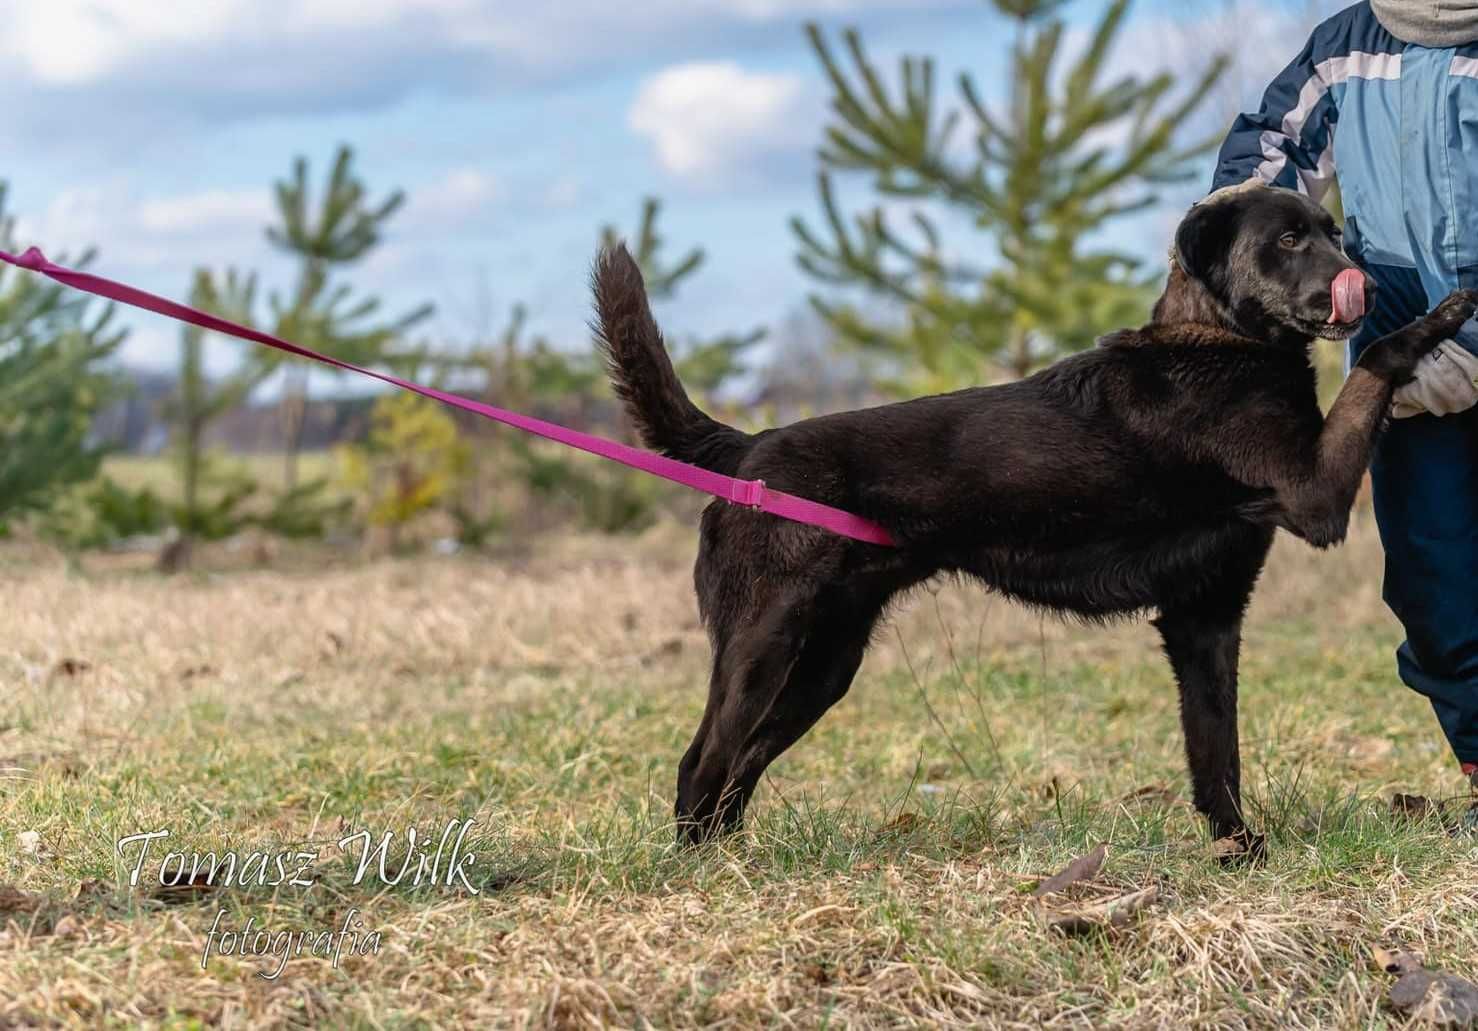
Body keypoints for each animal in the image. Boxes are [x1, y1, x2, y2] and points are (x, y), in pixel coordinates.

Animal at [591, 182, 1478, 850]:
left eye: (1334, 234)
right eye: (1290, 239)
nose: (1364, 278)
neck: (1218, 343)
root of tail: (750, 450)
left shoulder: (1206, 617)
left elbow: (1214, 751)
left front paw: (1237, 849)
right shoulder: (1317, 493)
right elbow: (1378, 356)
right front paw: (1440, 317)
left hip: (822, 665)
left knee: (738, 764)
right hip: (763, 642)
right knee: (701, 761)